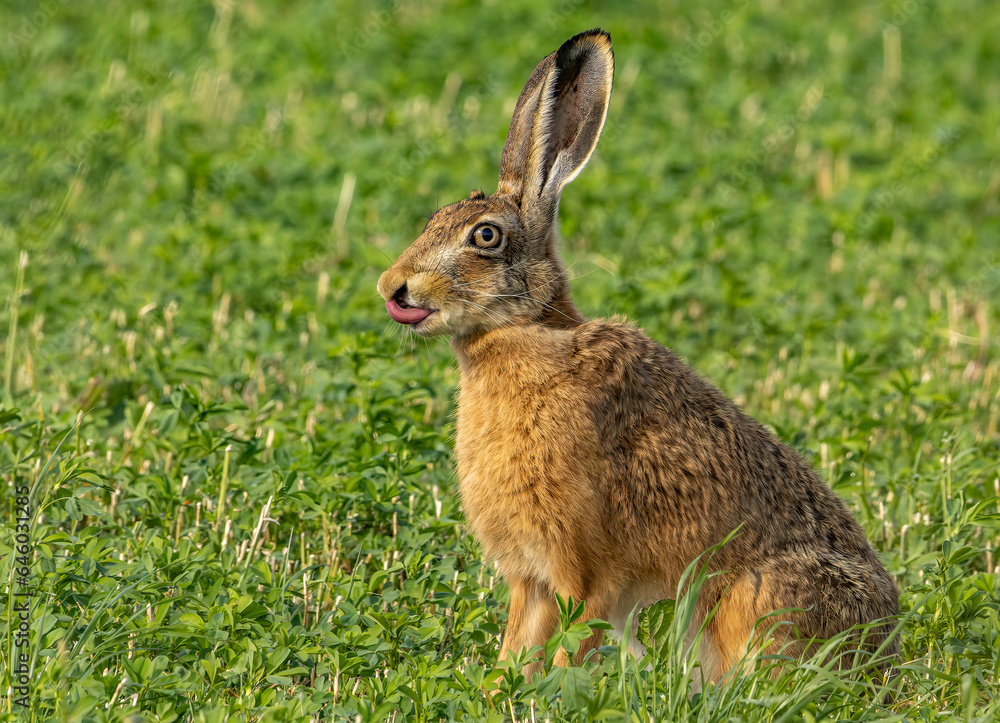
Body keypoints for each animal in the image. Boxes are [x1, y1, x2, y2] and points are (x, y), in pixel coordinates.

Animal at [376, 28, 900, 684]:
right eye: (434, 219)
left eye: (486, 236)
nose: (392, 287)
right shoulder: (531, 579)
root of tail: (889, 648)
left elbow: (569, 648)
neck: (523, 331)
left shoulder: (586, 576)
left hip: (761, 599)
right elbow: (514, 653)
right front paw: (499, 692)